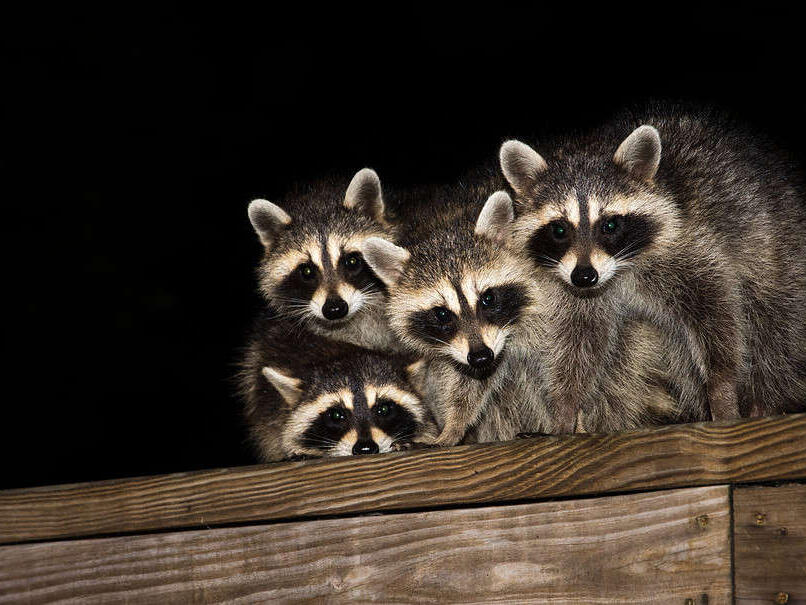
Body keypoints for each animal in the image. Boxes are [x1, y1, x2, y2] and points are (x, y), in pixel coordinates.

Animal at [499, 107, 806, 422]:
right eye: (559, 230)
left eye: (610, 225)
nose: (584, 277)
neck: (619, 271)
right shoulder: (578, 291)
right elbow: (580, 342)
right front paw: (566, 406)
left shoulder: (688, 245)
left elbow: (716, 313)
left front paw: (722, 385)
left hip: (776, 246)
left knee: (774, 321)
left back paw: (766, 397)